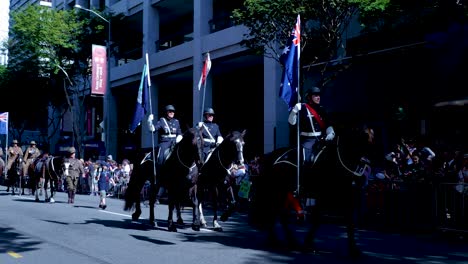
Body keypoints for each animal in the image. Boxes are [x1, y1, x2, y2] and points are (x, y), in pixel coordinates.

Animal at [250, 126, 374, 258]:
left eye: (373, 141)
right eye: (362, 140)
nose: (364, 175)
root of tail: (271, 155)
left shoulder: (345, 196)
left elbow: (349, 220)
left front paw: (354, 250)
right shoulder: (324, 196)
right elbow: (318, 219)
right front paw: (308, 244)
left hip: (282, 193)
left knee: (278, 213)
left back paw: (284, 241)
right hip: (278, 191)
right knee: (276, 212)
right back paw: (280, 240)